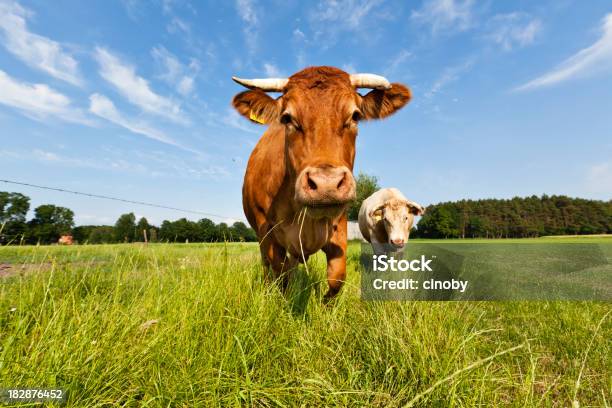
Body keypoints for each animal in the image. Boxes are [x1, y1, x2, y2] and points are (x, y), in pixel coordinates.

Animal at [232, 65, 414, 298]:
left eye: (355, 115)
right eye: (287, 118)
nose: (326, 184)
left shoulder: (339, 227)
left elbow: (337, 278)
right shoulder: (269, 234)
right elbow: (281, 276)